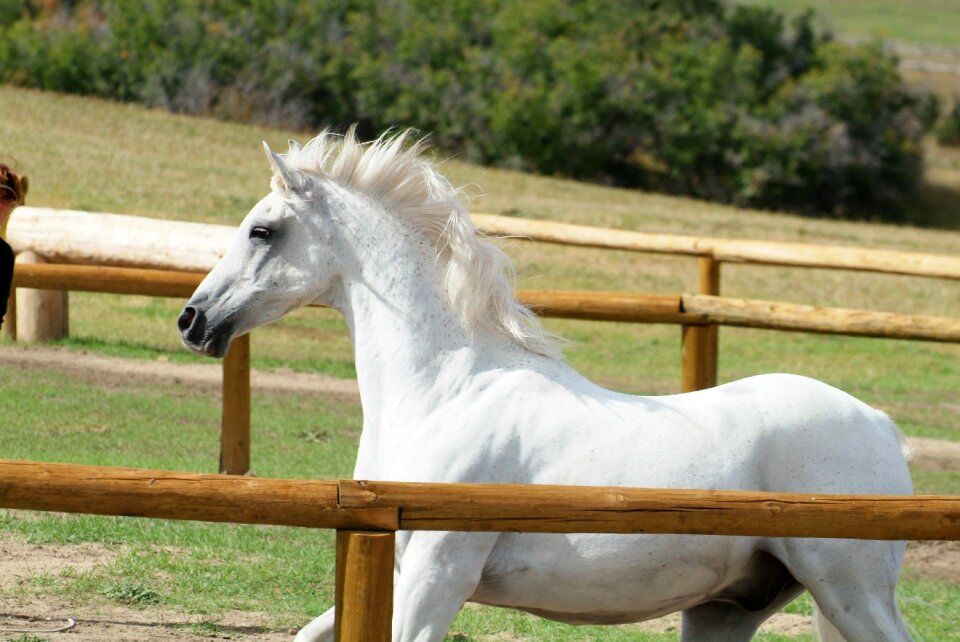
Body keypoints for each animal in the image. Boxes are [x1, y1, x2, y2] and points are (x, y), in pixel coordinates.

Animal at [178, 127, 916, 636]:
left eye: (262, 230)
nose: (193, 319)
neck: (443, 393)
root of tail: (881, 426)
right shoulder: (395, 569)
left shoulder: (436, 578)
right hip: (726, 609)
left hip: (849, 591)